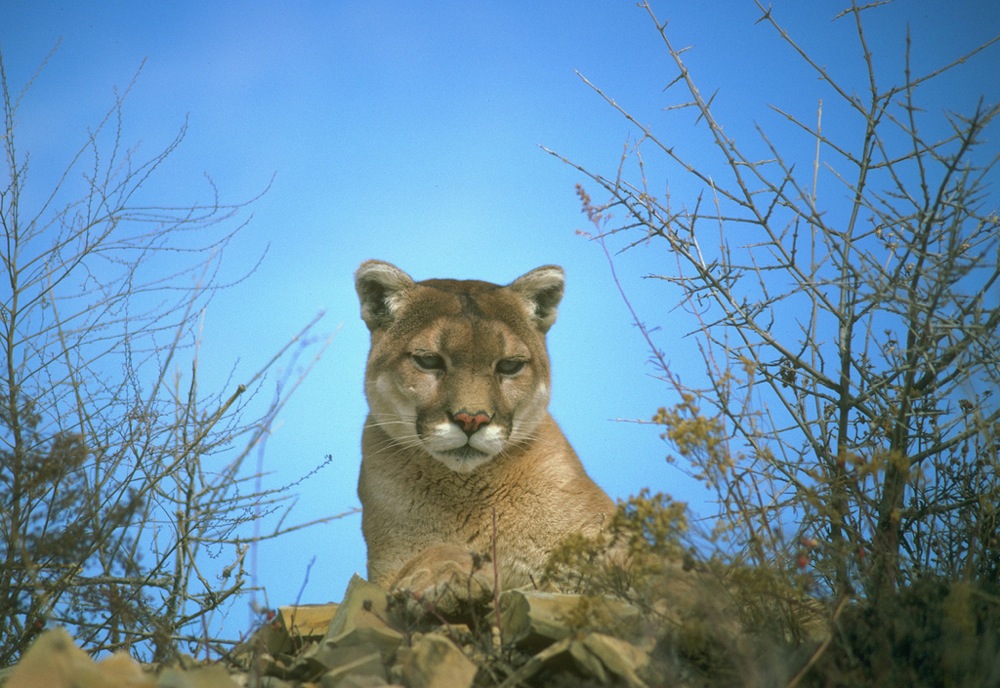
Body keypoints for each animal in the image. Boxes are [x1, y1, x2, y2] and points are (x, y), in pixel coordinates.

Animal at [354, 260, 615, 608]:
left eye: (509, 366)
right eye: (428, 360)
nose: (471, 419)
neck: (470, 495)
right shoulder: (385, 568)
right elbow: (438, 551)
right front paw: (444, 576)